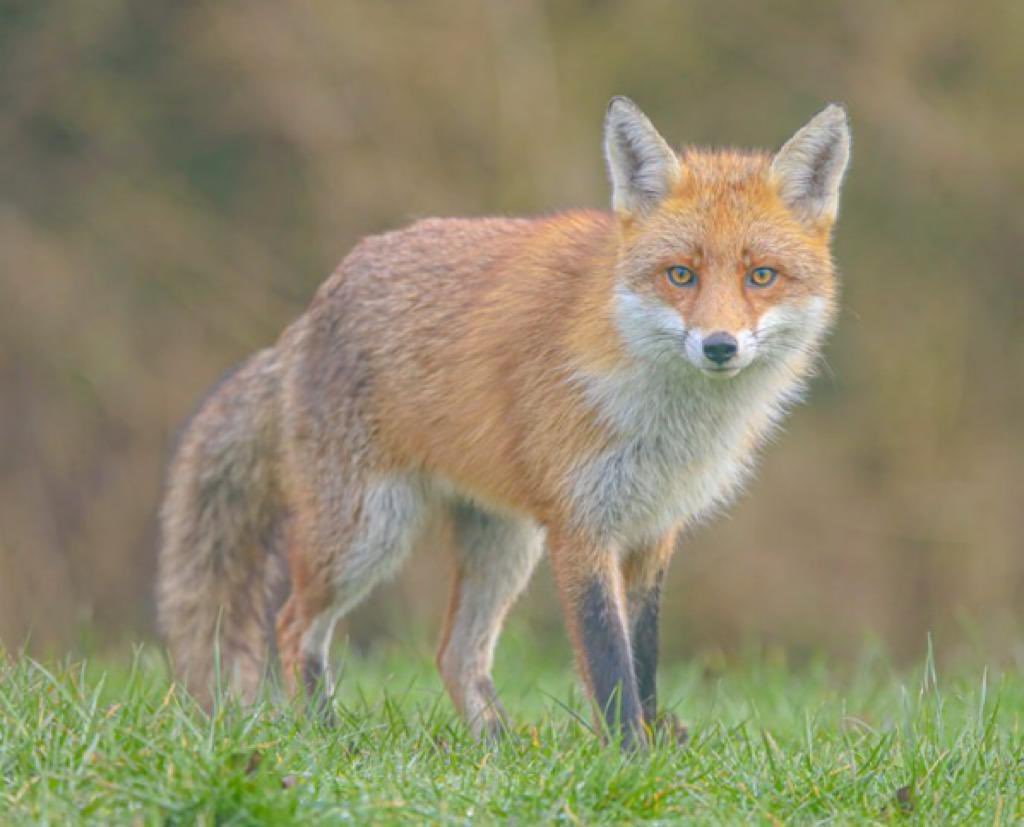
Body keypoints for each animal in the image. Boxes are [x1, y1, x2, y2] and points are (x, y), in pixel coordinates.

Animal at [158, 97, 850, 748]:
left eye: (761, 276)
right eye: (681, 274)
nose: (719, 346)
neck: (668, 426)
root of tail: (305, 318)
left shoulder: (655, 528)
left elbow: (645, 659)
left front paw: (652, 747)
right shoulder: (581, 526)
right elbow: (609, 663)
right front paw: (630, 758)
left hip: (503, 544)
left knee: (454, 653)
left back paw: (498, 748)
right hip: (368, 532)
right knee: (294, 624)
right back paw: (327, 736)